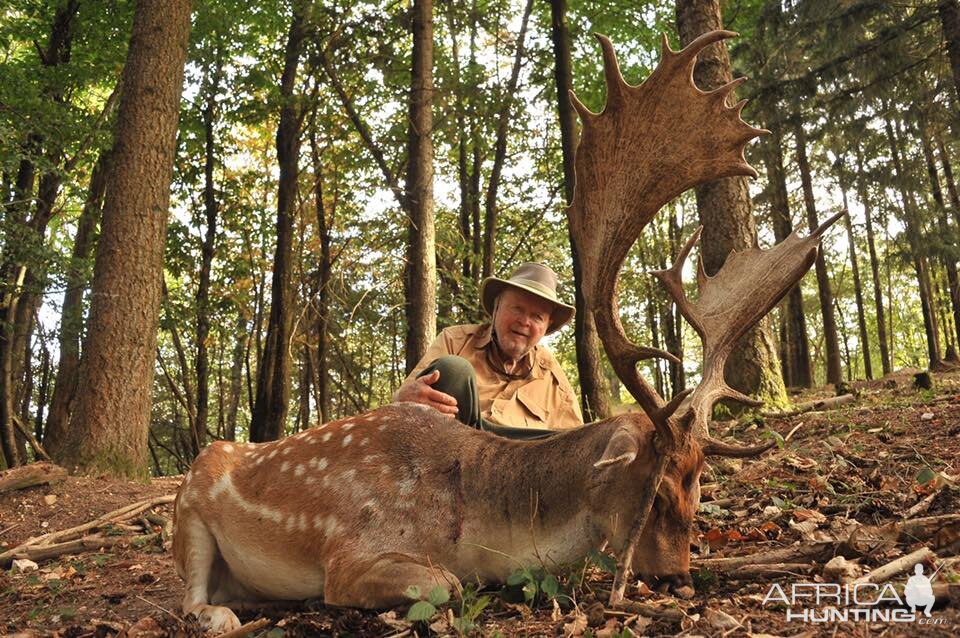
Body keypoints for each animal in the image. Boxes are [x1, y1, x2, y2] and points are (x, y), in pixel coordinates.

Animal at [172, 31, 840, 636]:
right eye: (653, 492)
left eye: (698, 489)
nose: (677, 578)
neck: (472, 520)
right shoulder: (350, 554)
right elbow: (443, 582)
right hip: (189, 512)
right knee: (187, 596)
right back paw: (222, 615)